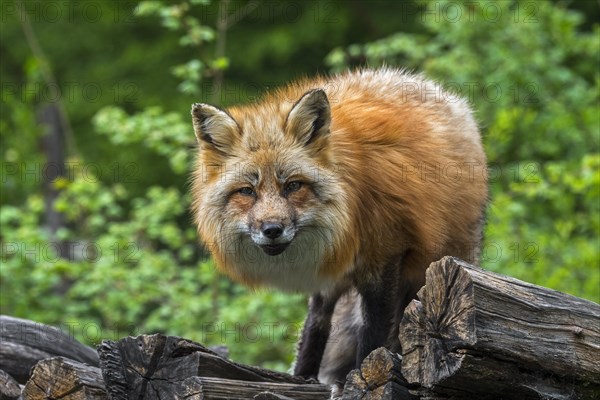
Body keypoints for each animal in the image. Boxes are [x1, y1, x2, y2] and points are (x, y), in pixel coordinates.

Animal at [191, 68, 488, 384]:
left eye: (293, 186)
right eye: (247, 191)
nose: (272, 229)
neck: (348, 215)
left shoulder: (385, 257)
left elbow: (373, 334)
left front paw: (363, 377)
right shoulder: (327, 266)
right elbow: (314, 326)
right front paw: (303, 377)